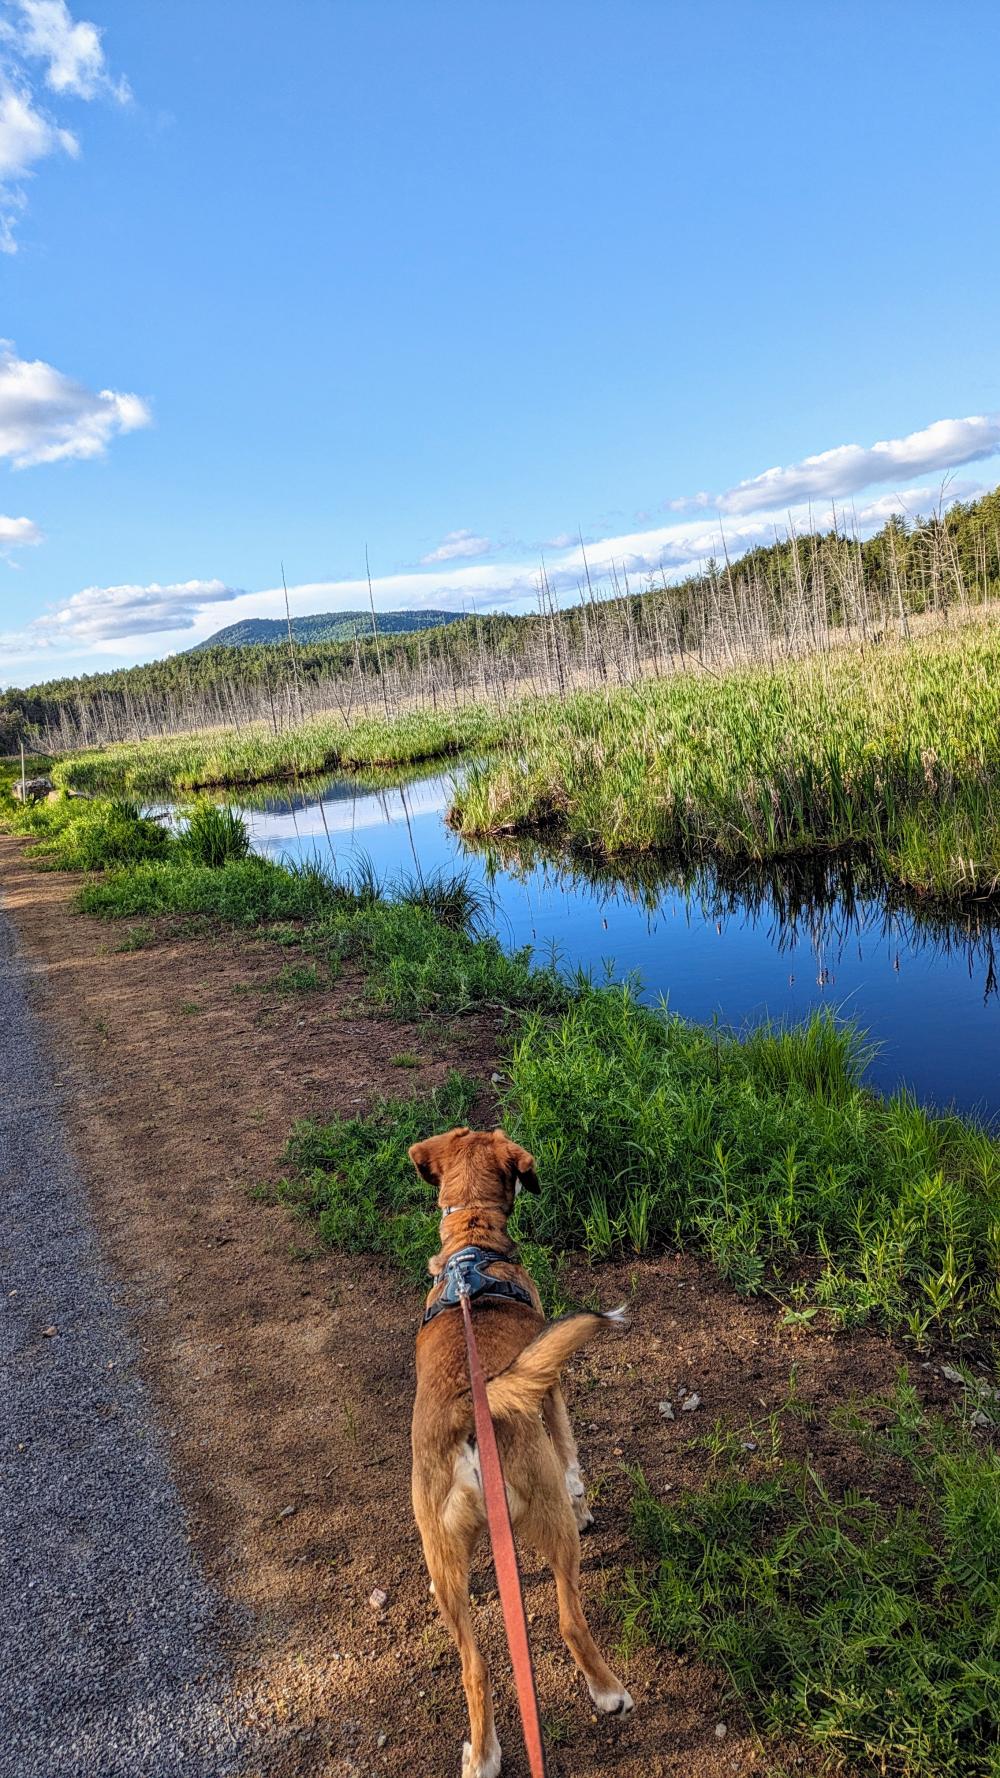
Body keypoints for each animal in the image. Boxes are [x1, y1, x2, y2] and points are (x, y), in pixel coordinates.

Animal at [407, 1123, 629, 1778]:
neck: (473, 1243)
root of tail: (468, 1412)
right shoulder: (549, 1390)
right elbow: (573, 1454)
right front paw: (587, 1502)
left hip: (444, 1559)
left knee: (475, 1666)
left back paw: (483, 1755)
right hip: (550, 1523)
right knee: (569, 1618)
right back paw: (609, 1692)